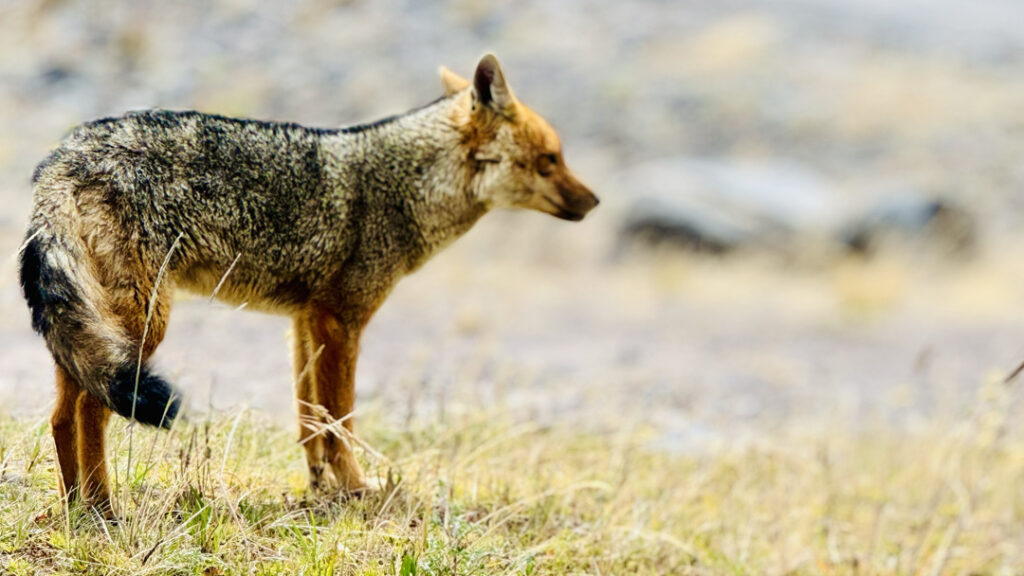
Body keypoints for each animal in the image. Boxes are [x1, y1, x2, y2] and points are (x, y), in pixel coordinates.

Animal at [18, 53, 598, 510]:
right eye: (550, 160)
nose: (594, 202)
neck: (400, 187)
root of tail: (64, 155)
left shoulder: (304, 321)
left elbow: (310, 422)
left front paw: (321, 491)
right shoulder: (341, 322)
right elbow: (340, 421)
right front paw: (358, 489)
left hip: (96, 334)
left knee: (61, 416)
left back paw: (74, 509)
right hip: (141, 328)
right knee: (90, 412)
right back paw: (103, 508)